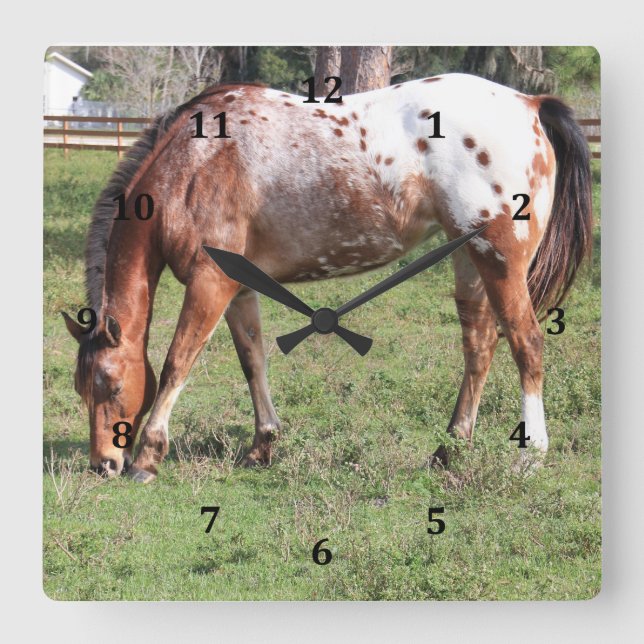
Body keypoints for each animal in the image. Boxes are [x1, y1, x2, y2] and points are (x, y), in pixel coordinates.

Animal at [61, 73, 592, 483]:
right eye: (81, 388)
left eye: (109, 384)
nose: (103, 465)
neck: (193, 164)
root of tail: (530, 104)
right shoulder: (237, 286)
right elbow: (252, 360)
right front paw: (262, 444)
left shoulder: (210, 282)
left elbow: (177, 363)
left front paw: (148, 457)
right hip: (469, 259)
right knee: (479, 347)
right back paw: (448, 450)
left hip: (500, 260)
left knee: (526, 344)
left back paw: (530, 457)